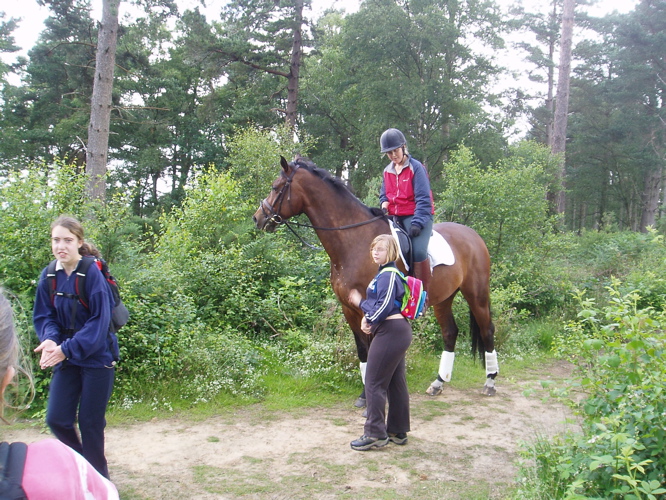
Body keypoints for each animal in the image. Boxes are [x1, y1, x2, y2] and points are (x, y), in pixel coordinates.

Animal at [252, 156, 496, 398]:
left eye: (275, 187)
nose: (258, 218)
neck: (355, 241)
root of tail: (473, 235)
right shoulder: (349, 308)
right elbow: (362, 350)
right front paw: (365, 394)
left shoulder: (372, 308)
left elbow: (374, 349)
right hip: (444, 298)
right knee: (450, 332)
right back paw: (438, 383)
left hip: (476, 295)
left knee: (487, 330)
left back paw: (490, 381)